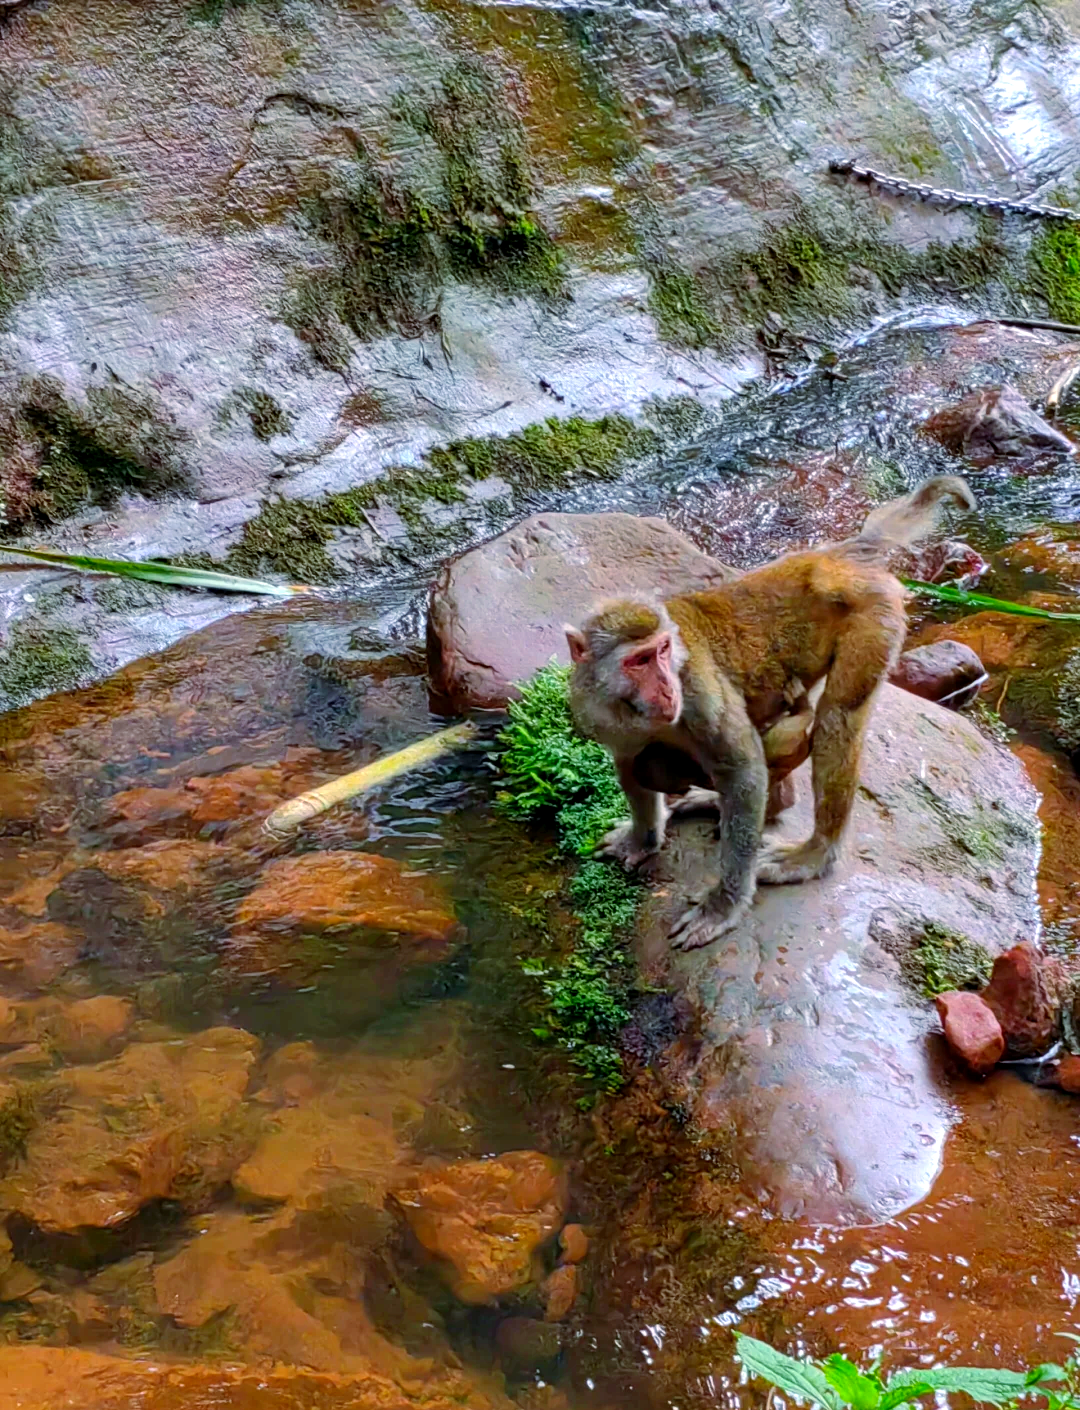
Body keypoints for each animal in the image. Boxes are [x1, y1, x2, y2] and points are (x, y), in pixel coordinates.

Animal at [569, 473, 975, 947]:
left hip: (873, 615)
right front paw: (642, 838)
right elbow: (629, 765)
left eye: (663, 651)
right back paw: (758, 802)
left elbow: (744, 772)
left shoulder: (700, 694)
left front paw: (722, 906)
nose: (668, 688)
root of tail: (830, 556)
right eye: (639, 661)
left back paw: (813, 855)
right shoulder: (600, 714)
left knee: (837, 718)